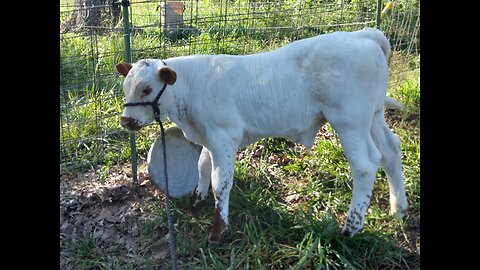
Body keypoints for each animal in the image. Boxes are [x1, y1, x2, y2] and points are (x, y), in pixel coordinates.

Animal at [117, 27, 408, 245]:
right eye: (125, 87)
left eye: (147, 89)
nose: (126, 120)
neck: (191, 90)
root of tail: (362, 35)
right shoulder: (210, 136)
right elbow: (202, 165)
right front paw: (197, 199)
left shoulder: (224, 136)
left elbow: (221, 182)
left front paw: (218, 230)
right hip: (374, 115)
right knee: (391, 151)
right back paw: (399, 209)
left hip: (350, 121)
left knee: (366, 165)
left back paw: (351, 227)